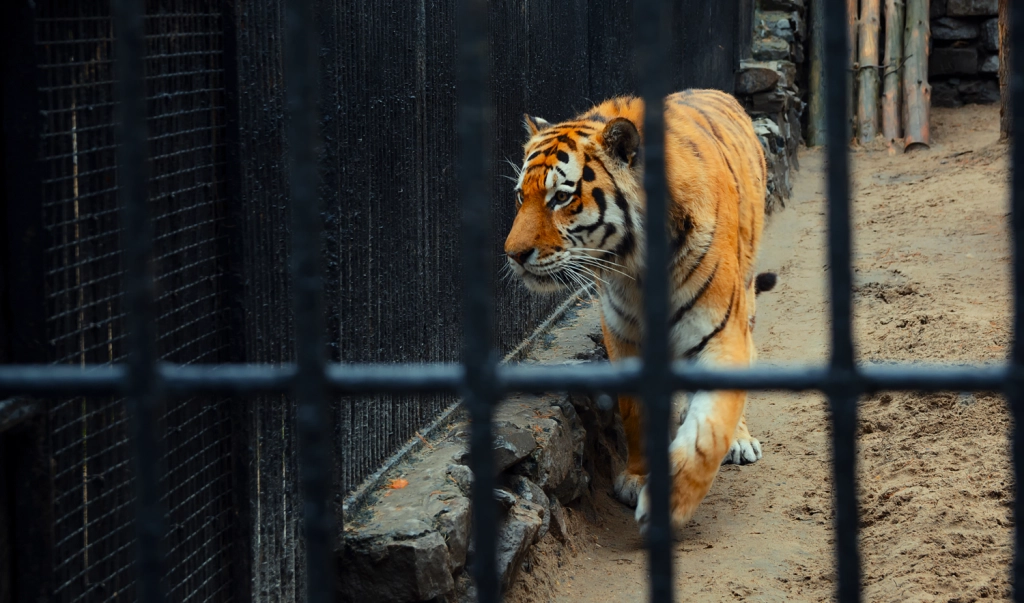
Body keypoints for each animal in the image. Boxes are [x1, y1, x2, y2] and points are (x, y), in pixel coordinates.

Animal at [503, 89, 776, 535]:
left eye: (561, 197)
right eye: (520, 196)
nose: (513, 255)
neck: (636, 267)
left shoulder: (720, 333)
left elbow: (708, 433)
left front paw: (671, 501)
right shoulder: (623, 335)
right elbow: (635, 414)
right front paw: (636, 477)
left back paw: (739, 439)